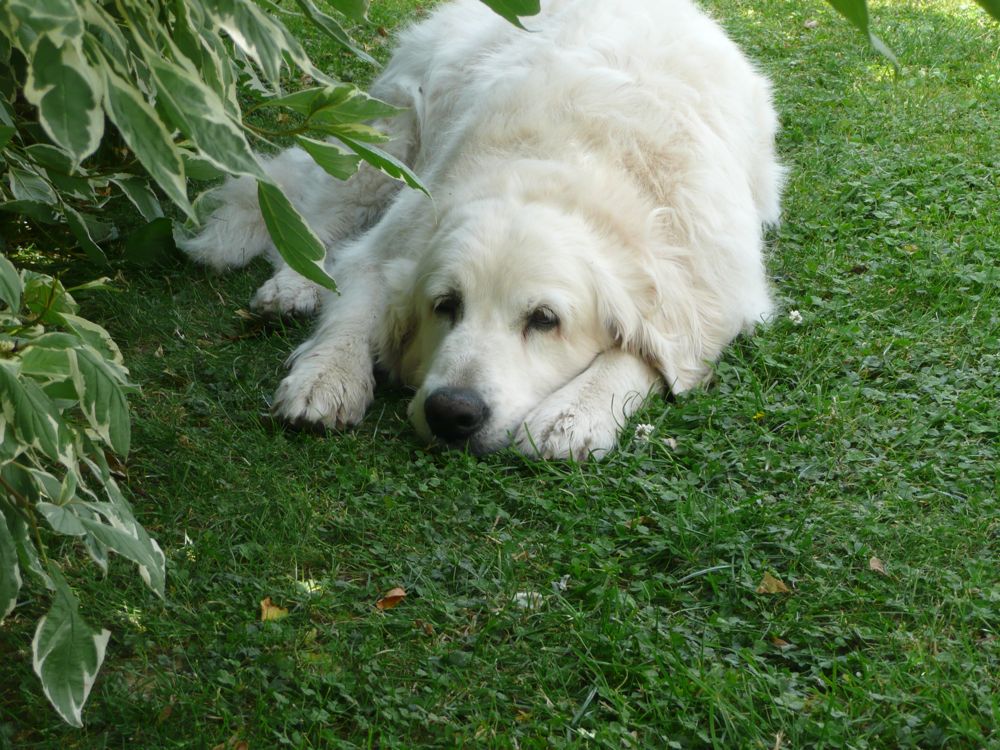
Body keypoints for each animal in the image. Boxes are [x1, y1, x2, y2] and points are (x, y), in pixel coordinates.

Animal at [184, 0, 784, 458]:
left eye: (545, 320)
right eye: (445, 305)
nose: (453, 412)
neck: (560, 172)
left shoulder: (714, 287)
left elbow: (653, 350)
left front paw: (575, 413)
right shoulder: (401, 236)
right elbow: (357, 303)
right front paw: (326, 377)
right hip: (386, 149)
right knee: (319, 214)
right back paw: (292, 284)